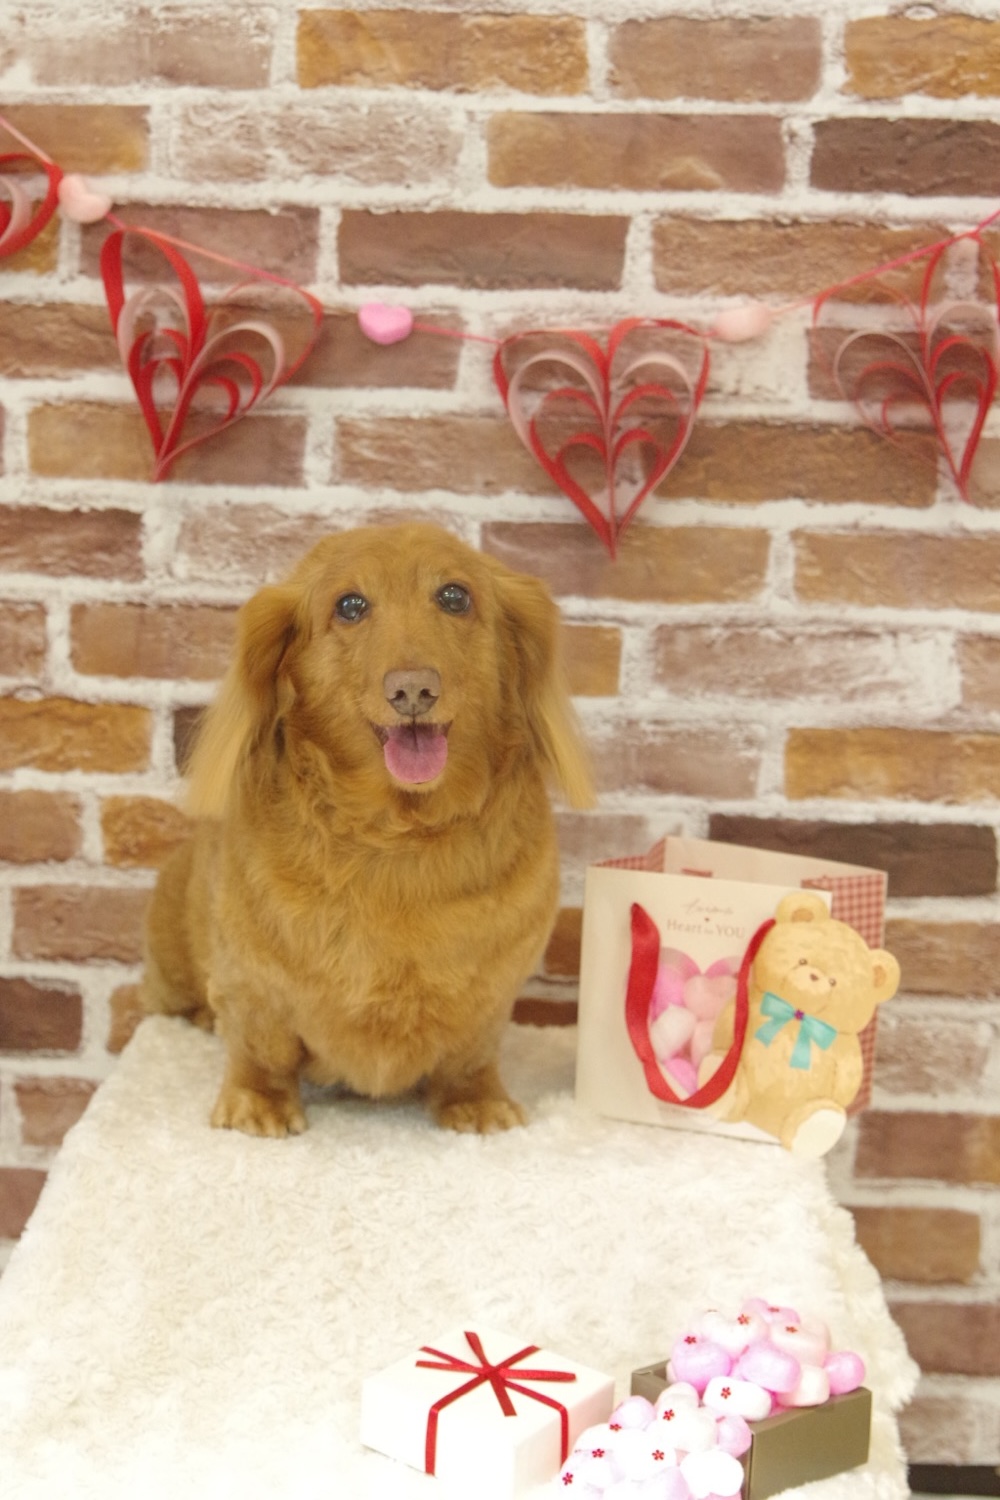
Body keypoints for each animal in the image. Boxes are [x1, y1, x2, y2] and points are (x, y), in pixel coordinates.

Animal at [141, 522, 593, 1137]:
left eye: (455, 596)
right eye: (350, 606)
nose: (413, 690)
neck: (397, 836)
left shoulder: (493, 993)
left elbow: (471, 1054)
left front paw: (478, 1102)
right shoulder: (251, 981)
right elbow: (260, 1045)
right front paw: (258, 1103)